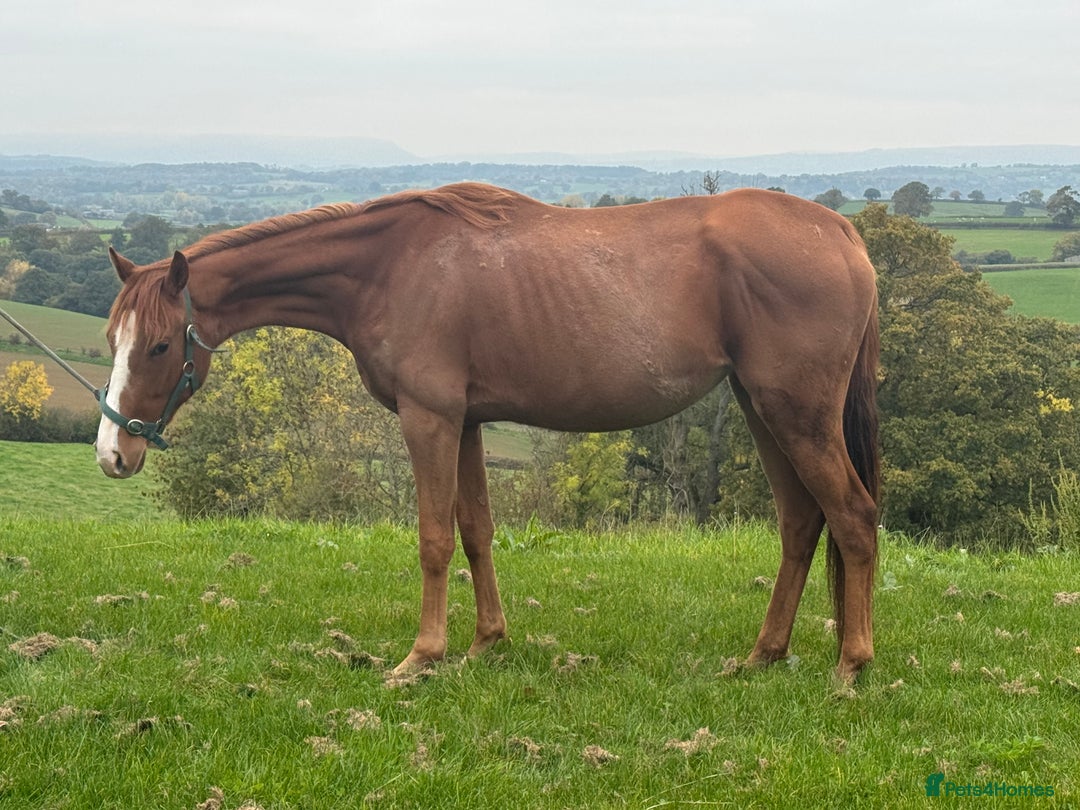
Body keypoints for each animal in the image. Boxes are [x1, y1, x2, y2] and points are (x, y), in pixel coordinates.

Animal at [95, 182, 880, 684]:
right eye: (112, 338)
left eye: (159, 346)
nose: (113, 452)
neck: (388, 267)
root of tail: (841, 233)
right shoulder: (467, 421)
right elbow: (476, 531)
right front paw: (485, 644)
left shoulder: (430, 417)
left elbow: (435, 540)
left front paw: (422, 658)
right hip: (762, 409)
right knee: (801, 522)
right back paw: (762, 656)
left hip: (797, 415)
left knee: (853, 517)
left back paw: (851, 664)